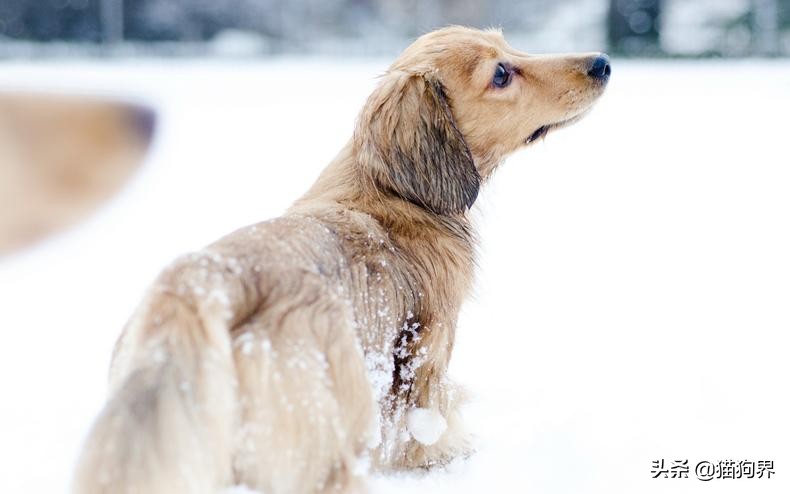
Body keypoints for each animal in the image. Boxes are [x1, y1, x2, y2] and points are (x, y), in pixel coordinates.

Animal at [71, 28, 608, 494]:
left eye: (508, 45)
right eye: (500, 74)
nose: (601, 63)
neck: (393, 191)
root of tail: (199, 286)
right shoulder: (429, 344)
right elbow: (425, 416)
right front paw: (442, 453)